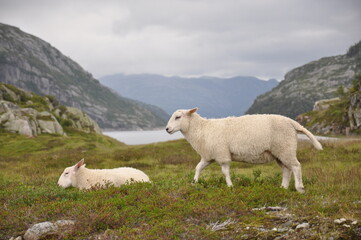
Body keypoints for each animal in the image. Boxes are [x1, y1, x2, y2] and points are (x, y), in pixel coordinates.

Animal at [165, 107, 322, 193]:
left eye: (178, 117)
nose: (167, 129)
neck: (202, 129)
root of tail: (292, 122)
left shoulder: (222, 154)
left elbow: (225, 172)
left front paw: (230, 186)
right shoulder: (209, 156)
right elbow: (198, 168)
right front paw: (194, 182)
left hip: (286, 148)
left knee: (296, 166)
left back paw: (299, 188)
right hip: (280, 152)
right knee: (286, 169)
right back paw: (283, 187)